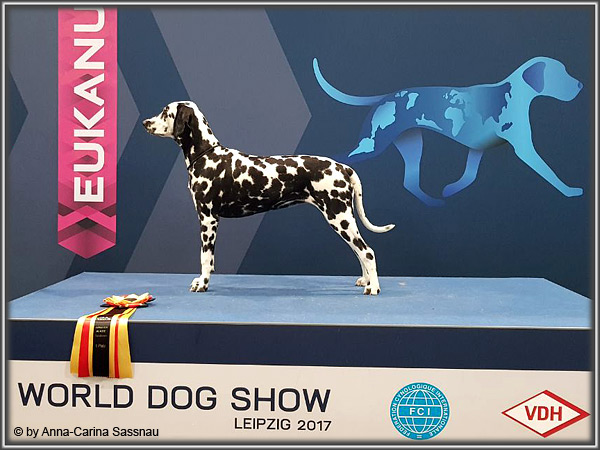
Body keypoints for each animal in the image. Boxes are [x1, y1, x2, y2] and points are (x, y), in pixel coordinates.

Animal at [143, 101, 394, 295]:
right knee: (360, 252)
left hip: (339, 218)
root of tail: (343, 168)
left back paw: (373, 288)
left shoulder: (208, 219)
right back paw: (365, 280)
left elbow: (206, 259)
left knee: (367, 252)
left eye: (165, 111)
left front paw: (202, 284)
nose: (145, 122)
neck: (207, 155)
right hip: (343, 220)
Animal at [313, 56, 583, 206]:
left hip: (412, 145)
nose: (580, 85)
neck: (513, 92)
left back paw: (433, 203)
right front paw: (570, 191)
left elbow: (469, 176)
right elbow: (550, 173)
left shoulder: (477, 150)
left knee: (410, 183)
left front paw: (451, 189)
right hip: (372, 145)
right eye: (560, 74)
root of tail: (383, 97)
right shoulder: (525, 150)